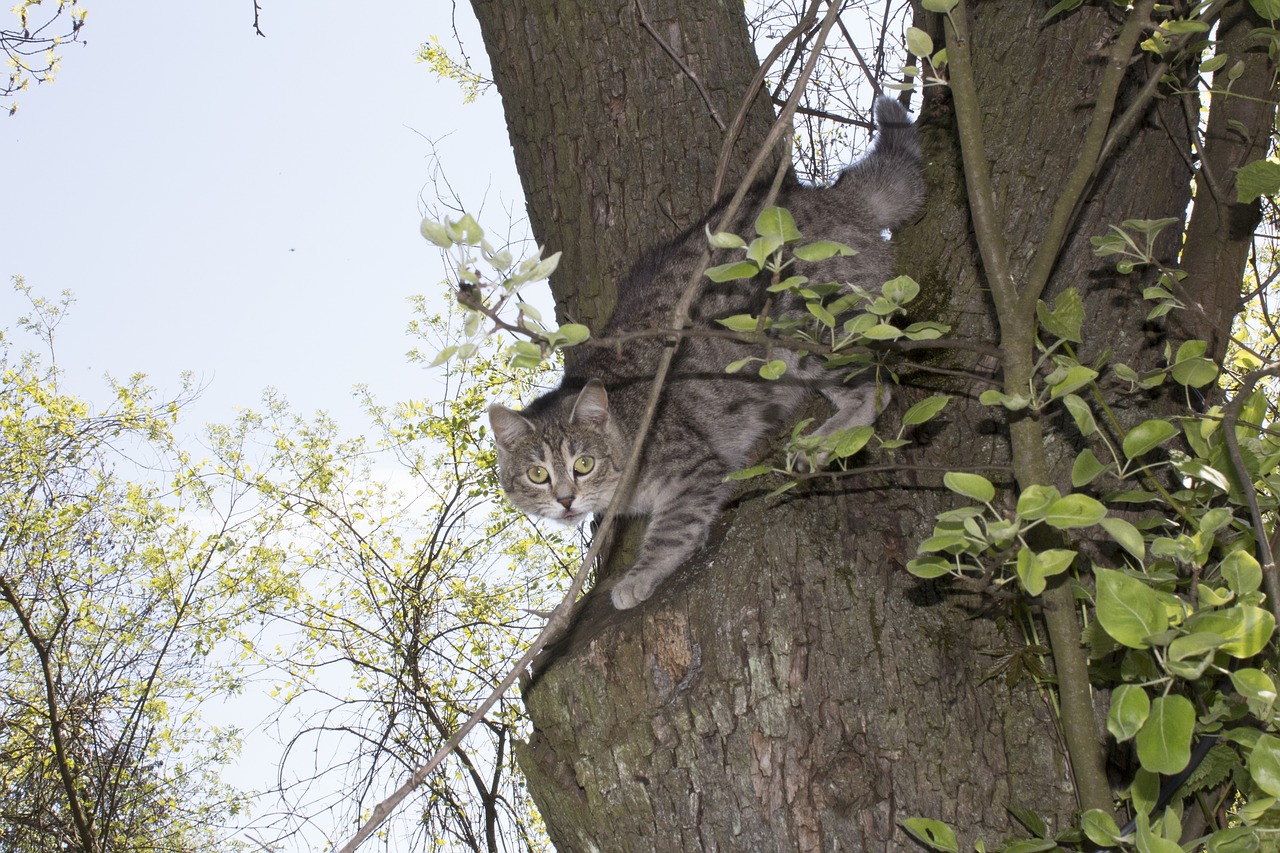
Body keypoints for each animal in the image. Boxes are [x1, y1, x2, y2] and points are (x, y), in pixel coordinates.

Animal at [486, 96, 921, 607]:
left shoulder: (693, 469)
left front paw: (637, 576)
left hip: (801, 331)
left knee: (875, 388)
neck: (626, 429)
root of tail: (836, 200)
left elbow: (672, 530)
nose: (566, 500)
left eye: (584, 464)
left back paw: (817, 444)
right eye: (537, 475)